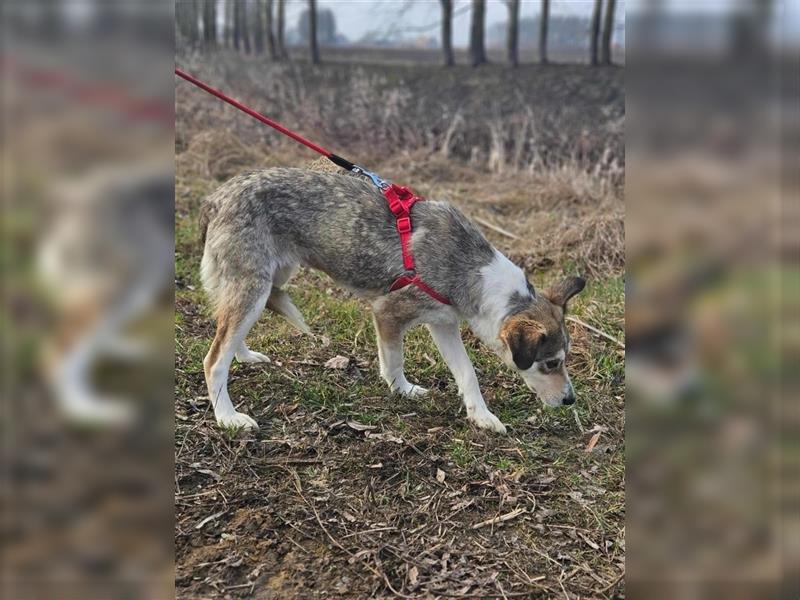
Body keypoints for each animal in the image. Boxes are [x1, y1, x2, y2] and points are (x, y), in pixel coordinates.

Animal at [200, 166, 588, 434]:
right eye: (550, 363)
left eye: (563, 360)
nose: (570, 399)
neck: (472, 269)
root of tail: (217, 196)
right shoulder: (387, 312)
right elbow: (394, 360)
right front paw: (400, 390)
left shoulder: (443, 323)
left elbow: (468, 374)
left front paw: (482, 416)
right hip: (253, 286)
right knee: (214, 358)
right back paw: (227, 416)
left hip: (270, 280)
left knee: (230, 328)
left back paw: (245, 355)